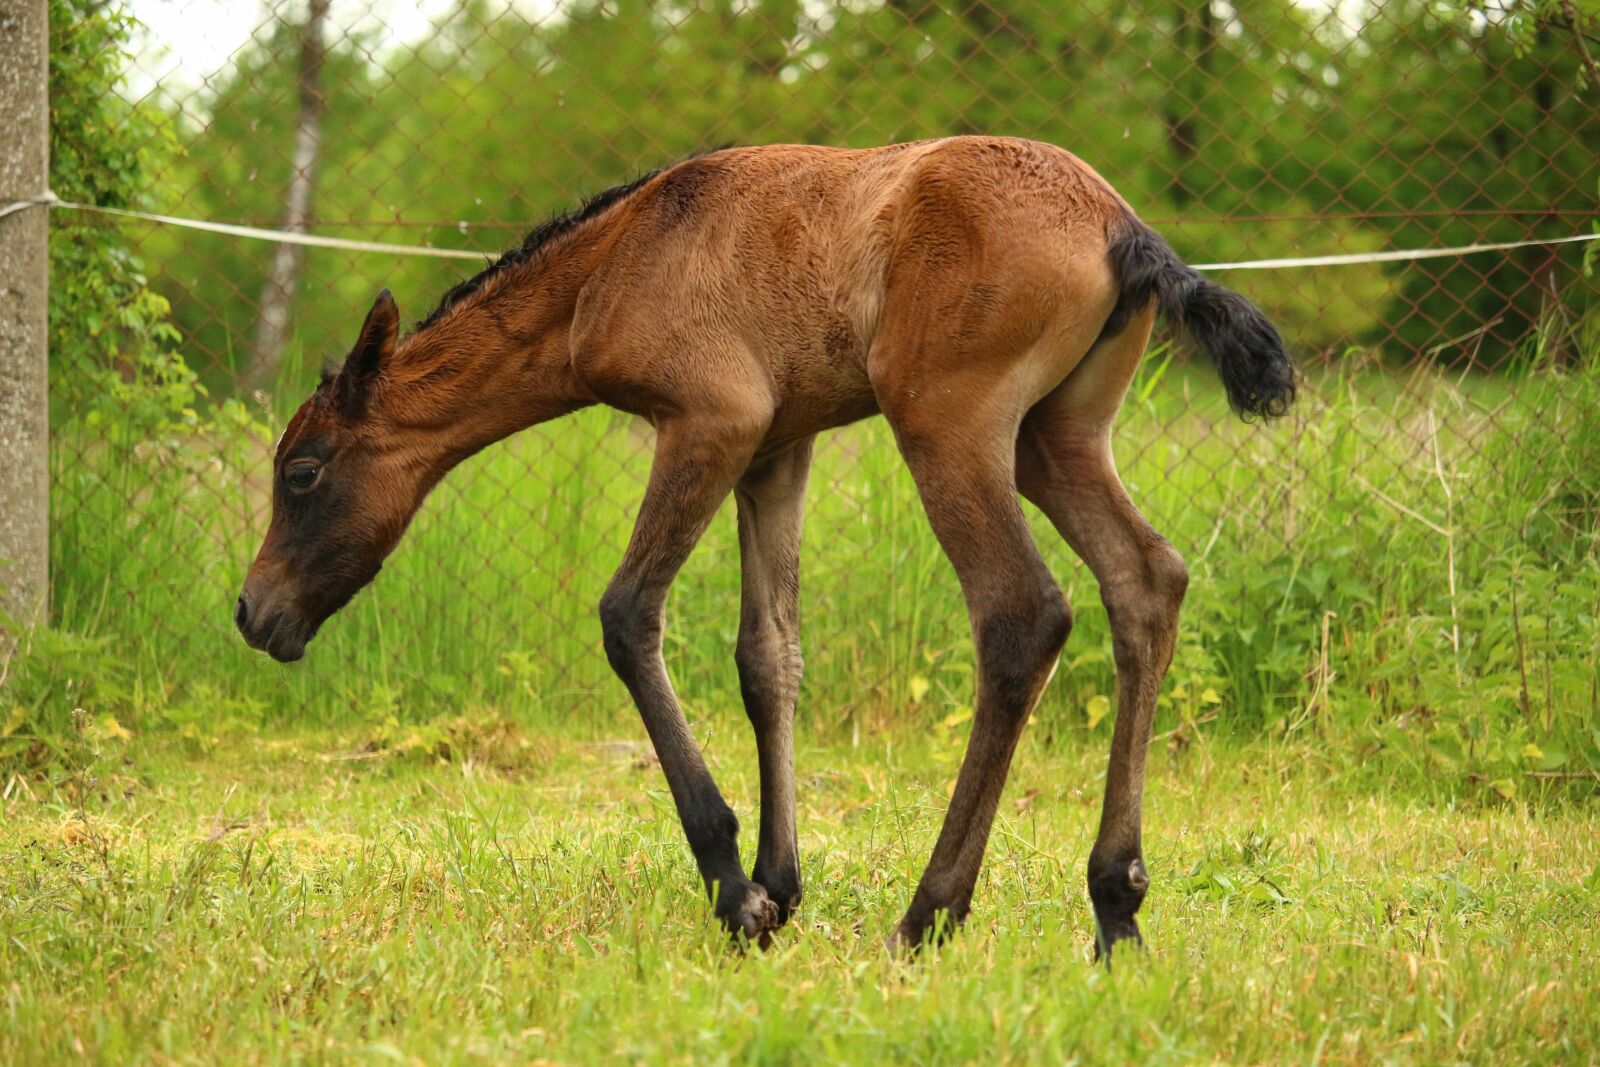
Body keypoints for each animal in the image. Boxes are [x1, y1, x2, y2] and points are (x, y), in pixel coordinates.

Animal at [235, 137, 1295, 957]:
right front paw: (780, 886)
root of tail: (1121, 227)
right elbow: (768, 654)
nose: (254, 613)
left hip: (950, 421)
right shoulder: (780, 448)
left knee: (1021, 612)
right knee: (1145, 580)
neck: (618, 256)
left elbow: (629, 615)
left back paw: (928, 914)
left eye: (303, 472)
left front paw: (733, 888)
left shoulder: (713, 420)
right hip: (1056, 437)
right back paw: (1116, 907)